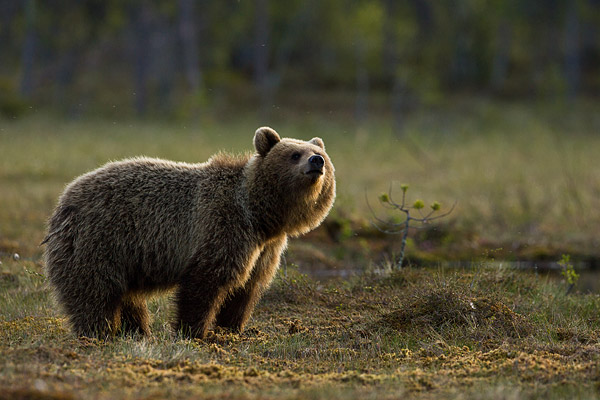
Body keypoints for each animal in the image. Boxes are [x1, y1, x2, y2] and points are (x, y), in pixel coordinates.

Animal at [41, 126, 336, 340]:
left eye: (317, 152)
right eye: (294, 154)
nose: (317, 161)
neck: (260, 215)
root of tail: (63, 200)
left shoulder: (265, 248)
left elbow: (247, 288)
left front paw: (231, 328)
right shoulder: (221, 225)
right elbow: (205, 281)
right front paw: (194, 331)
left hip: (125, 257)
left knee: (127, 297)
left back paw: (137, 331)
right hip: (100, 239)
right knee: (93, 291)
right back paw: (98, 332)